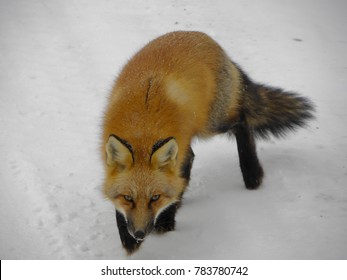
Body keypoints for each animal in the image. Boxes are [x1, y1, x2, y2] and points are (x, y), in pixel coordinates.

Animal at [101, 30, 316, 254]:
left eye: (155, 198)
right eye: (128, 198)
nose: (140, 234)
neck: (142, 127)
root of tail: (204, 37)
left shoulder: (179, 153)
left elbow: (176, 185)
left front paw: (166, 222)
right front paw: (127, 237)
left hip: (213, 123)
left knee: (242, 121)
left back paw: (252, 174)